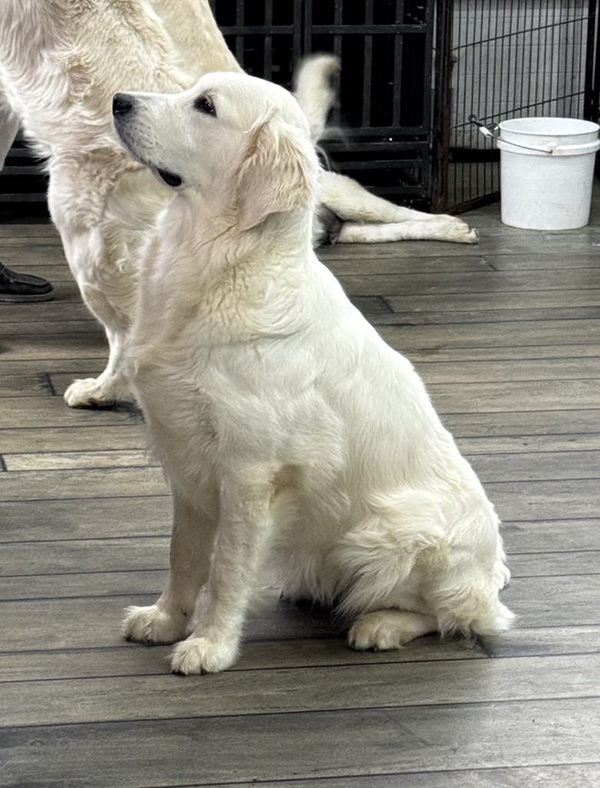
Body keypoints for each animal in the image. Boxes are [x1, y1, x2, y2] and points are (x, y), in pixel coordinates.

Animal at [115, 74, 512, 676]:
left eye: (205, 106)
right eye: (192, 90)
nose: (118, 101)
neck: (217, 260)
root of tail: (492, 570)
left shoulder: (250, 470)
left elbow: (227, 567)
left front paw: (211, 645)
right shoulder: (184, 457)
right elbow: (182, 554)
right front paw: (164, 620)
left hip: (393, 529)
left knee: (462, 616)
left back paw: (381, 625)